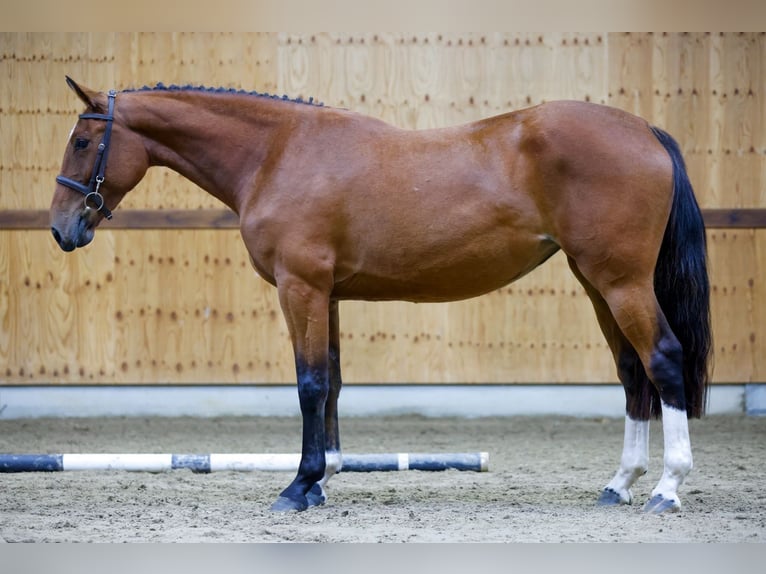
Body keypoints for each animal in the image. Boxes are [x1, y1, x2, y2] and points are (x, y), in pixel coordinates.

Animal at [51, 77, 712, 516]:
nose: (62, 229)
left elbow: (309, 384)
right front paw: (322, 479)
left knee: (663, 361)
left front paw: (299, 486)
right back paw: (619, 483)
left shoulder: (301, 288)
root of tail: (645, 130)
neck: (277, 153)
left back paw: (666, 488)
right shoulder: (327, 295)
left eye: (82, 142)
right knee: (631, 372)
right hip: (596, 281)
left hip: (620, 281)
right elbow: (333, 380)